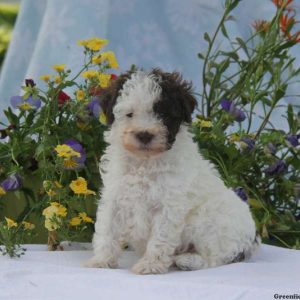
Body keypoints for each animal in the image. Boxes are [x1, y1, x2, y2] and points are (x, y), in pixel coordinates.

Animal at [84, 68, 258, 274]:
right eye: (129, 114)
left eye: (163, 114)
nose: (144, 134)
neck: (145, 162)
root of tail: (249, 241)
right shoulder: (115, 197)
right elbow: (107, 230)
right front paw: (101, 260)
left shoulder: (168, 205)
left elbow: (160, 237)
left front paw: (150, 265)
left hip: (208, 222)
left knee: (215, 259)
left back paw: (188, 261)